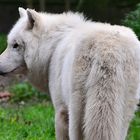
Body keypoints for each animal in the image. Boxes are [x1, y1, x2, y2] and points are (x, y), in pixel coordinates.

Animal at [0, 7, 140, 140]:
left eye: (15, 45)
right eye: (9, 44)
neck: (53, 46)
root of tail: (109, 50)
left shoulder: (60, 110)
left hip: (76, 115)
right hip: (122, 116)